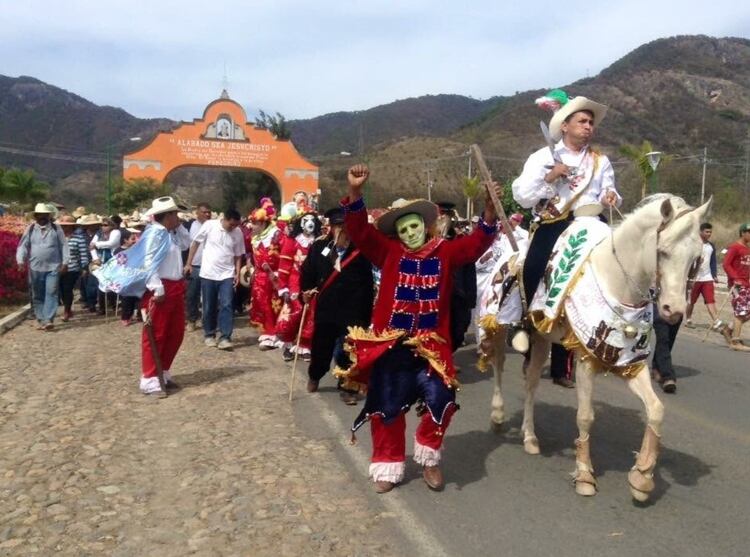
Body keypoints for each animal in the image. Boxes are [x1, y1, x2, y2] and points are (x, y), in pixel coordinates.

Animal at [484, 194, 712, 500]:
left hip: (542, 338)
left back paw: (530, 437)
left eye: (696, 257)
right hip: (499, 325)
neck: (615, 280)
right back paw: (498, 416)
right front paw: (584, 475)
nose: (673, 311)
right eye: (662, 252)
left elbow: (656, 410)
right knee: (498, 365)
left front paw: (642, 477)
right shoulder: (585, 360)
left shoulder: (630, 362)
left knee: (530, 382)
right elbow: (585, 417)